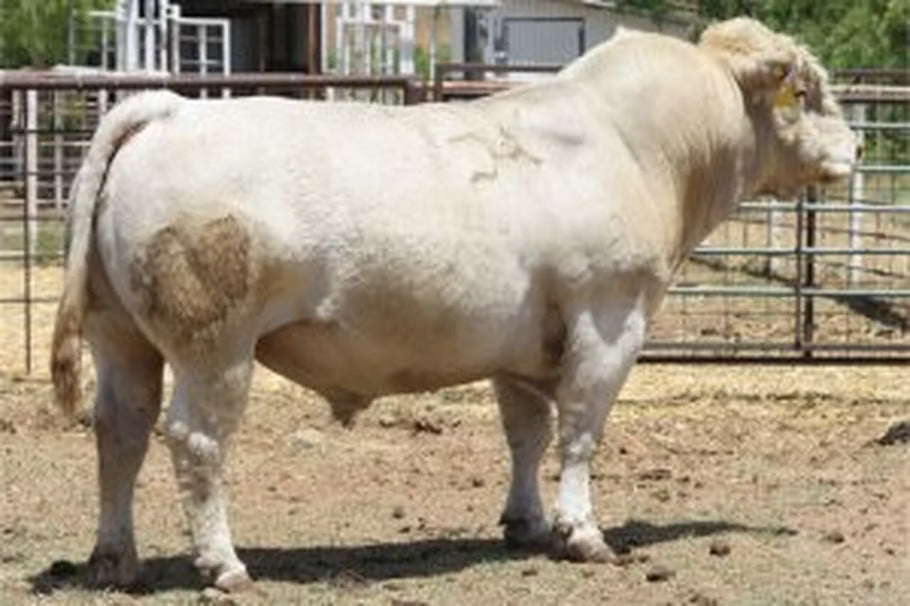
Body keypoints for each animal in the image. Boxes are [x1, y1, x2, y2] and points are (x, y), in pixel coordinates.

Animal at [51, 17, 857, 592]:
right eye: (806, 92)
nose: (852, 147)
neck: (641, 145)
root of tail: (170, 111)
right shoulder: (609, 319)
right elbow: (580, 432)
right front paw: (584, 533)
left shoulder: (523, 342)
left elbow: (527, 432)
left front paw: (526, 522)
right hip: (214, 345)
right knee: (195, 441)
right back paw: (224, 565)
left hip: (119, 335)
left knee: (119, 431)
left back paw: (114, 559)